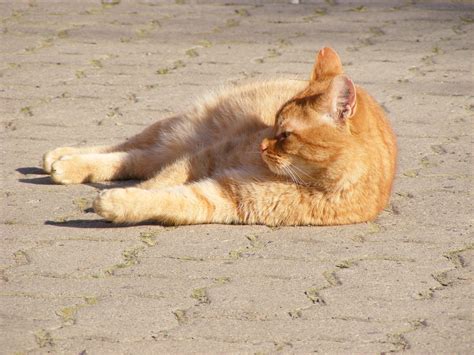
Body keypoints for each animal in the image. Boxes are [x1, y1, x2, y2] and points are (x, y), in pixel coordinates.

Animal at [43, 48, 396, 225]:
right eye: (273, 124)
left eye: (285, 134)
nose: (262, 143)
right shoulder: (208, 155)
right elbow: (158, 182)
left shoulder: (223, 198)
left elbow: (168, 198)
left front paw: (119, 203)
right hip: (185, 132)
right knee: (128, 148)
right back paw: (62, 158)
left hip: (177, 143)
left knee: (136, 158)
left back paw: (63, 164)